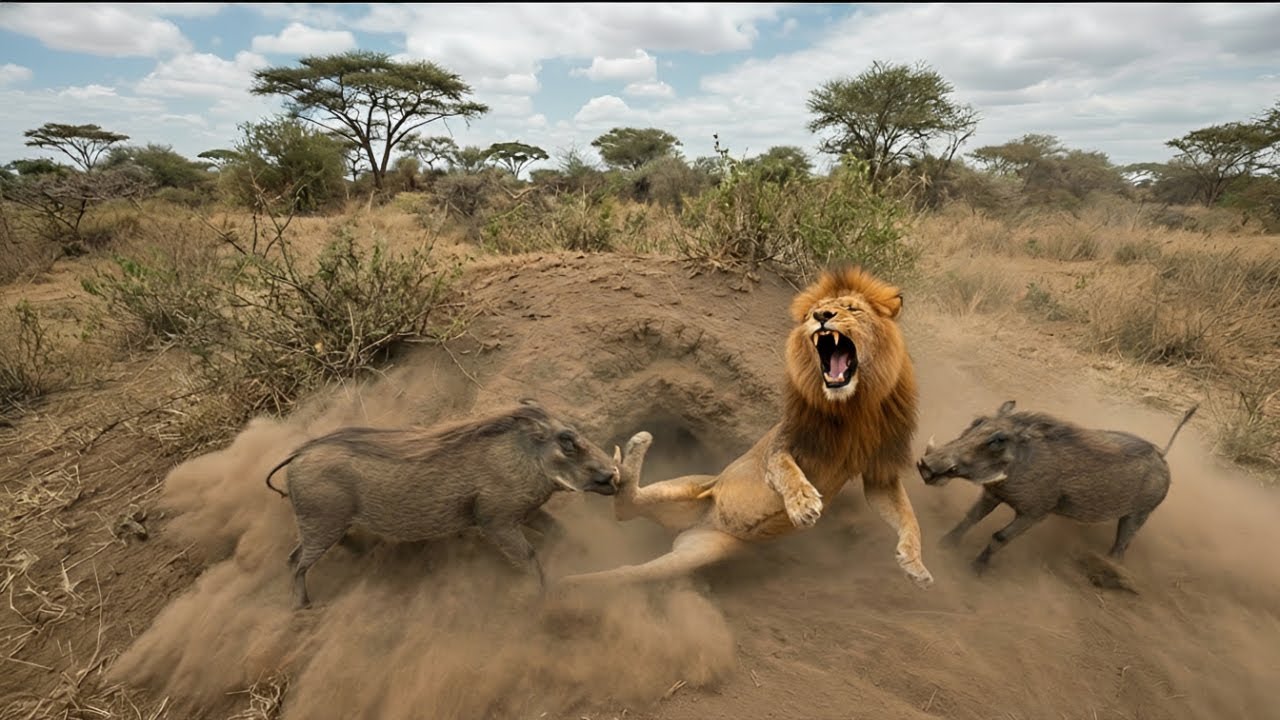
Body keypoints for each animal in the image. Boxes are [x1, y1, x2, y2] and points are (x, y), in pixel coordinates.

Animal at [559, 266, 934, 589]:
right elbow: (785, 470)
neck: (850, 407)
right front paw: (803, 505)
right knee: (627, 506)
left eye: (852, 309)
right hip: (689, 486)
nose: (822, 317)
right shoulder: (783, 443)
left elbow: (907, 516)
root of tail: (697, 523)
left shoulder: (878, 472)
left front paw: (914, 564)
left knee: (632, 530)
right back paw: (637, 445)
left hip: (702, 549)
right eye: (816, 310)